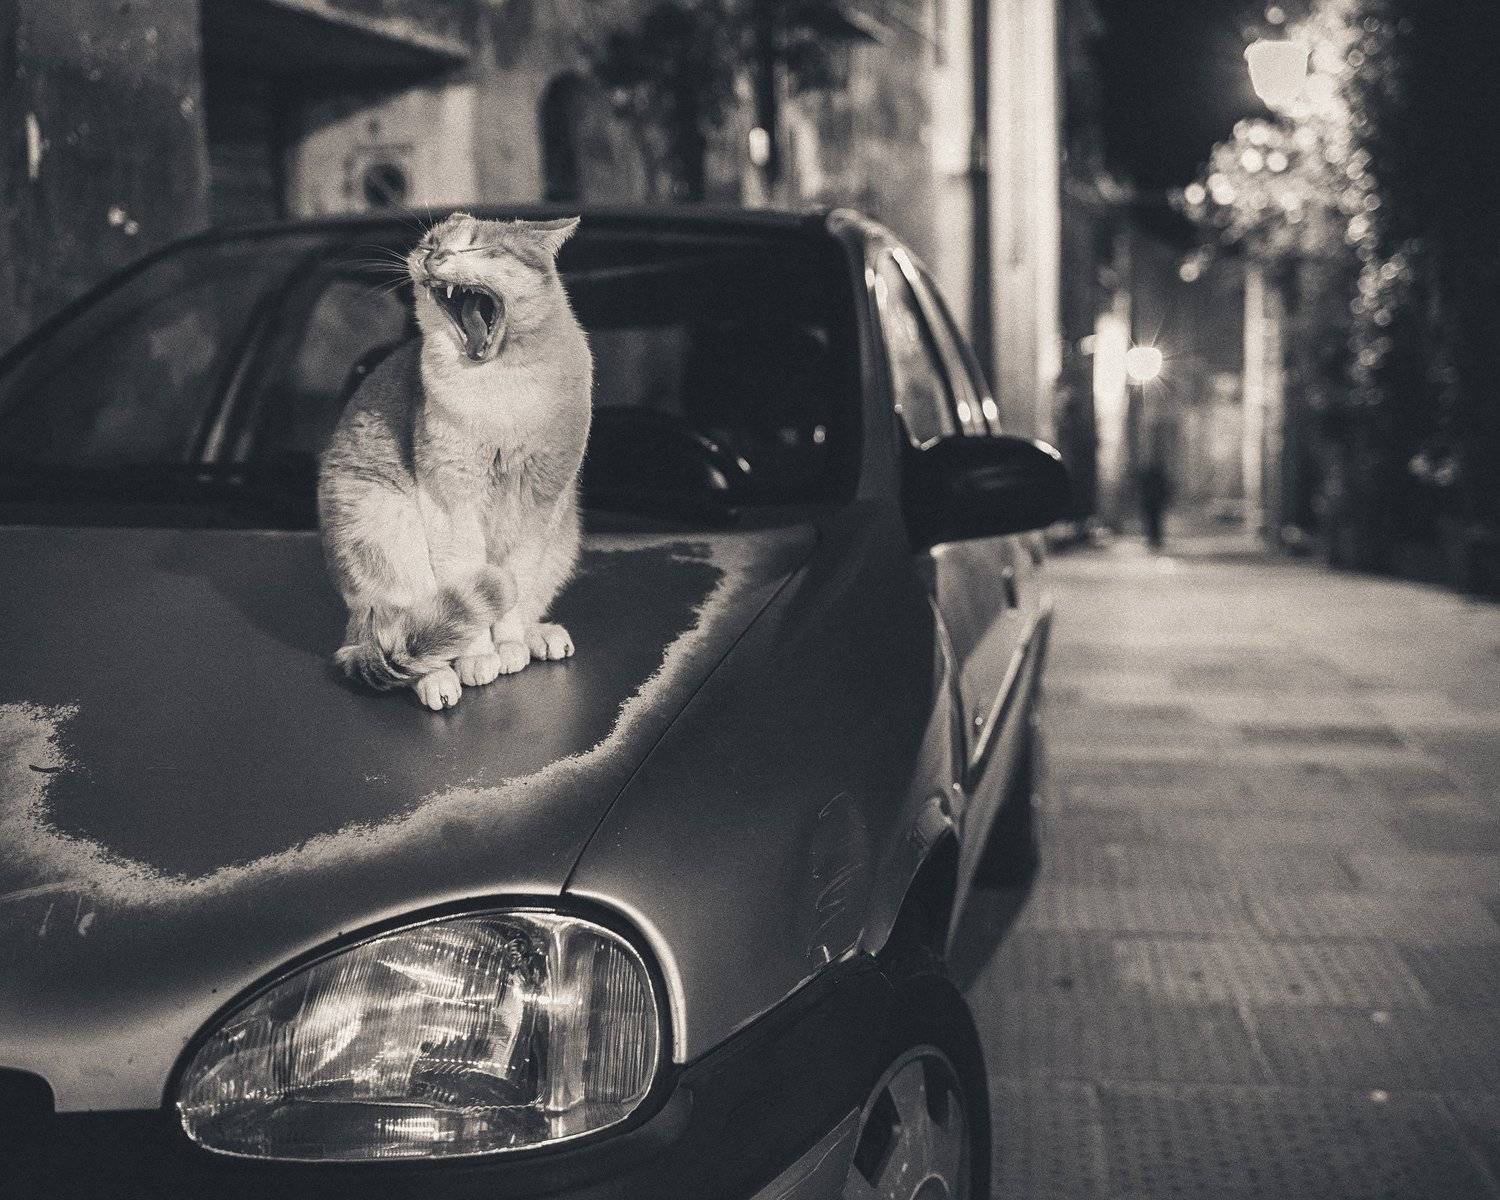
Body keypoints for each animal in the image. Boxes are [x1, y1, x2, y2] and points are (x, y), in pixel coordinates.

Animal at [318, 213, 592, 711]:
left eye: (475, 247)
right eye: (429, 244)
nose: (434, 257)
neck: (500, 390)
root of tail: (352, 627)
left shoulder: (541, 503)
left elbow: (515, 585)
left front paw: (510, 644)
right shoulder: (450, 504)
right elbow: (472, 587)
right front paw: (481, 656)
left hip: (563, 538)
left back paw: (538, 635)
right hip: (388, 532)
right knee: (399, 641)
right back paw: (438, 678)